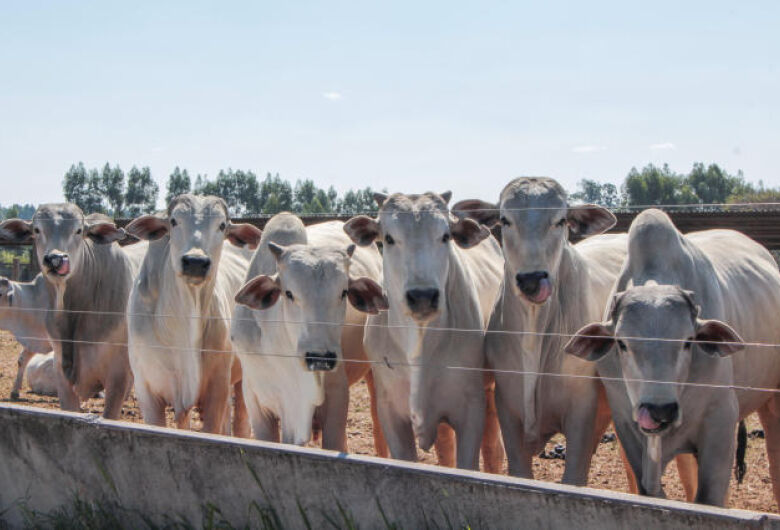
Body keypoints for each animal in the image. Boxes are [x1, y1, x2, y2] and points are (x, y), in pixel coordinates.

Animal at [125, 194, 262, 434]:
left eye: (222, 225)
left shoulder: (217, 388)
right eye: (173, 221)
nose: (196, 262)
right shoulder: (147, 391)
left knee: (241, 422)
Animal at [342, 191, 502, 470]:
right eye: (389, 238)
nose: (423, 296)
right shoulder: (391, 413)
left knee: (493, 447)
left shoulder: (470, 410)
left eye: (446, 236)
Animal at [568, 207, 780, 504]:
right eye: (621, 343)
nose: (660, 410)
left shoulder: (719, 427)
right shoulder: (627, 426)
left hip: (771, 401)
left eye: (688, 341)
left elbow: (708, 499)